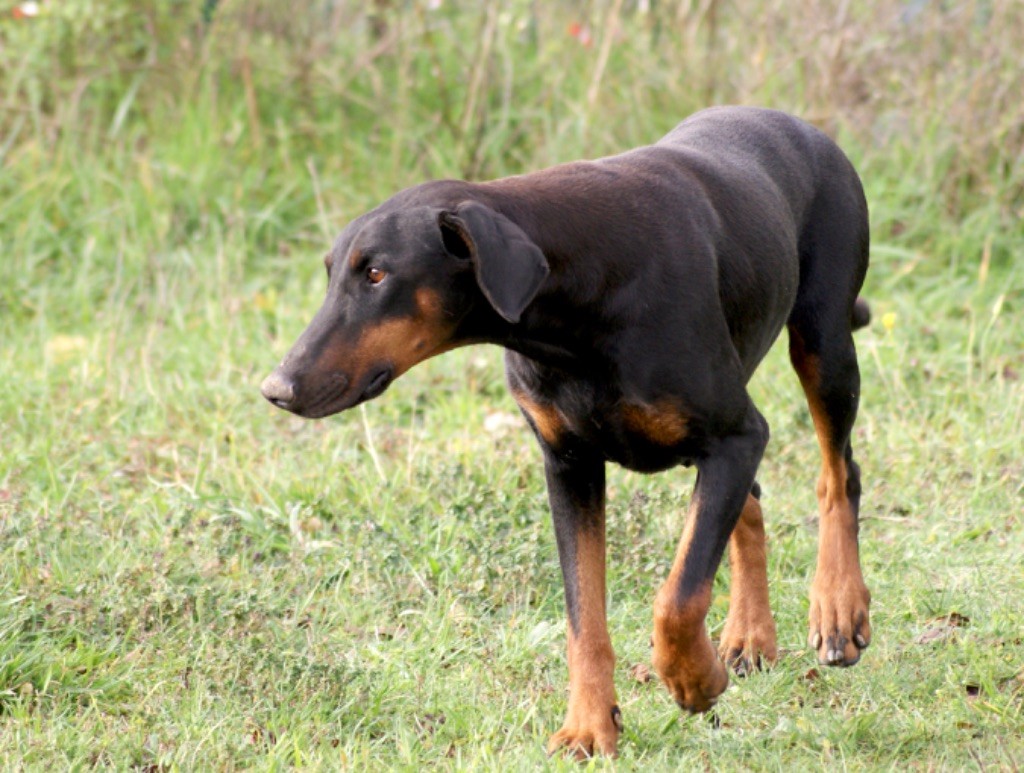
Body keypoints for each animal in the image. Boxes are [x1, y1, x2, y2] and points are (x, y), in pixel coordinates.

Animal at [262, 105, 872, 757]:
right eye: (332, 274)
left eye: (377, 274)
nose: (277, 388)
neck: (576, 301)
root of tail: (800, 125)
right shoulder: (569, 465)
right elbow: (585, 614)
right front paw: (590, 723)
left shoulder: (734, 436)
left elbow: (677, 596)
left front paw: (695, 680)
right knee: (750, 503)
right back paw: (750, 635)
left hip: (822, 342)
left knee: (838, 473)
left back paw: (837, 607)